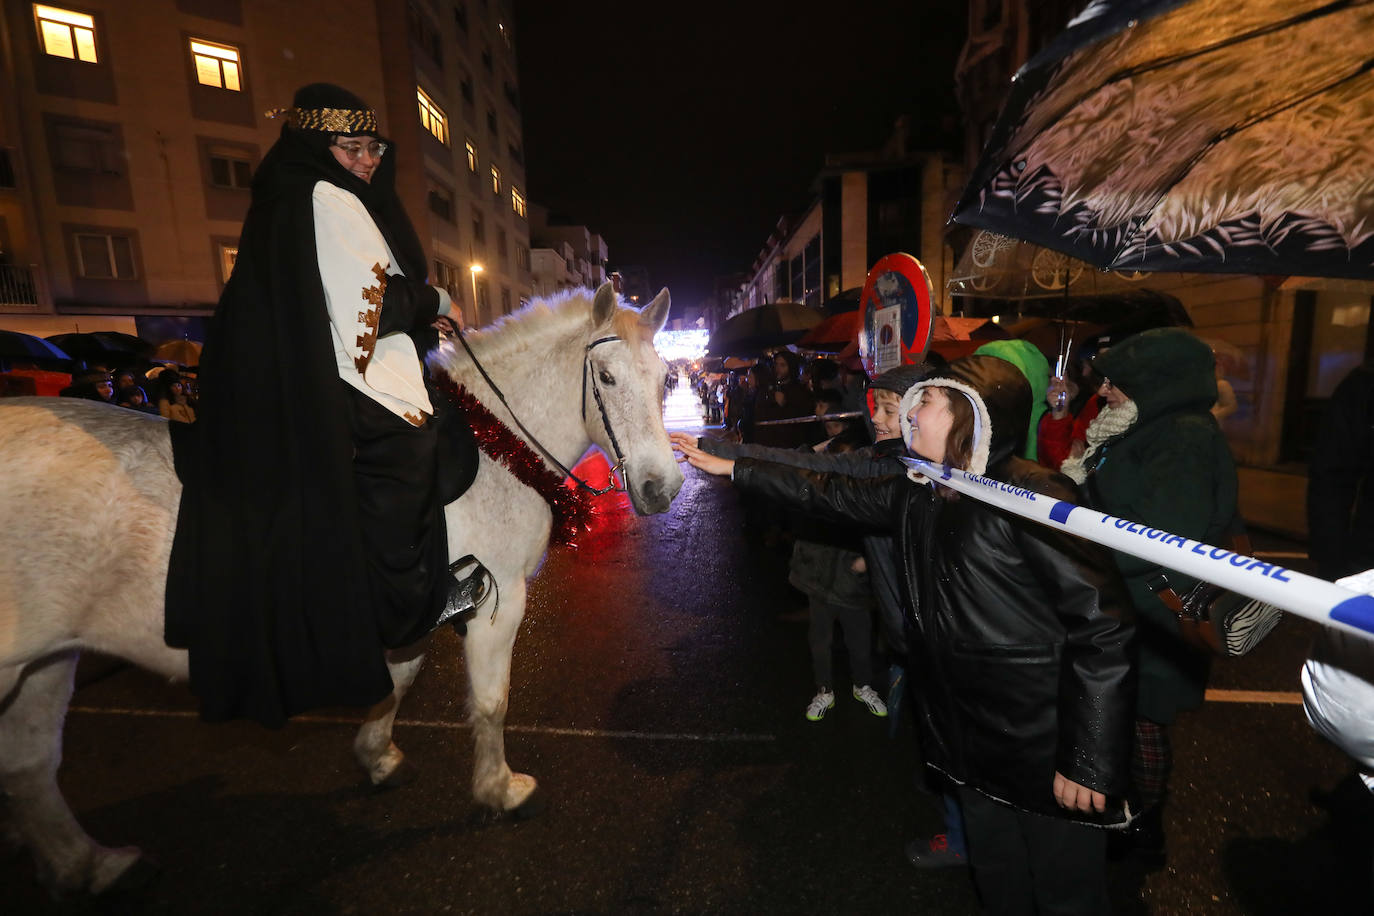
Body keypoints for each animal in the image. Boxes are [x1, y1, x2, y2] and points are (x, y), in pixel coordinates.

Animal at [0, 281, 684, 895]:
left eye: (666, 379)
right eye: (607, 379)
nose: (663, 488)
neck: (495, 452)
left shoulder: (420, 604)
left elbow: (399, 680)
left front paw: (377, 755)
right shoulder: (497, 603)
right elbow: (490, 703)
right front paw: (500, 790)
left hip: (49, 660)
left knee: (30, 763)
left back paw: (87, 865)